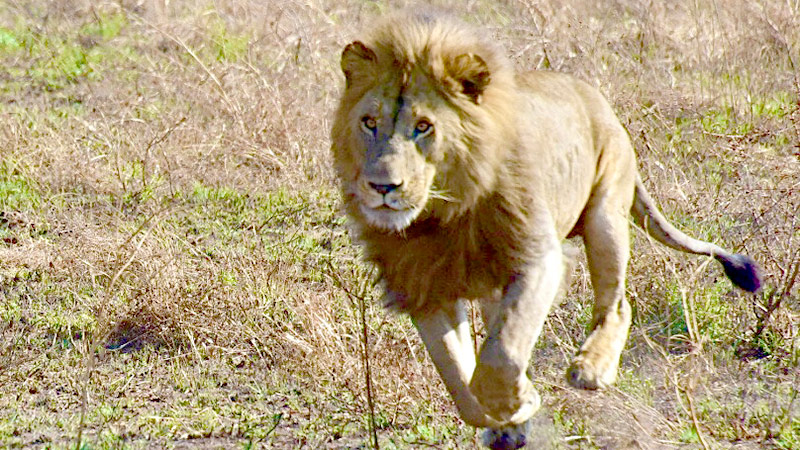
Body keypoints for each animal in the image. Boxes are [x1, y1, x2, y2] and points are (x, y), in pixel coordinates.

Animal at [332, 11, 764, 450]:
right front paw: (505, 417)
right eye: (369, 122)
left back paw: (591, 370)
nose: (383, 187)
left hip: (606, 214)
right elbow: (461, 381)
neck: (443, 213)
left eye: (423, 127)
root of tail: (598, 100)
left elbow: (500, 357)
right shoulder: (423, 285)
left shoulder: (537, 258)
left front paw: (519, 401)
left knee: (617, 305)